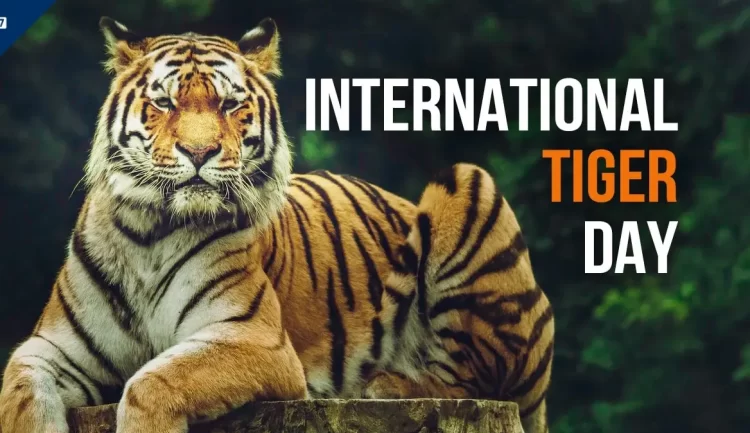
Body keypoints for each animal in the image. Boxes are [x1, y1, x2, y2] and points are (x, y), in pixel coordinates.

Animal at [0, 16, 554, 433]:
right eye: (164, 102)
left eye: (229, 104)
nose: (199, 152)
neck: (149, 233)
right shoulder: (52, 349)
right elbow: (18, 393)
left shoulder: (253, 339)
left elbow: (150, 383)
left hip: (468, 182)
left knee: (474, 377)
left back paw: (385, 384)